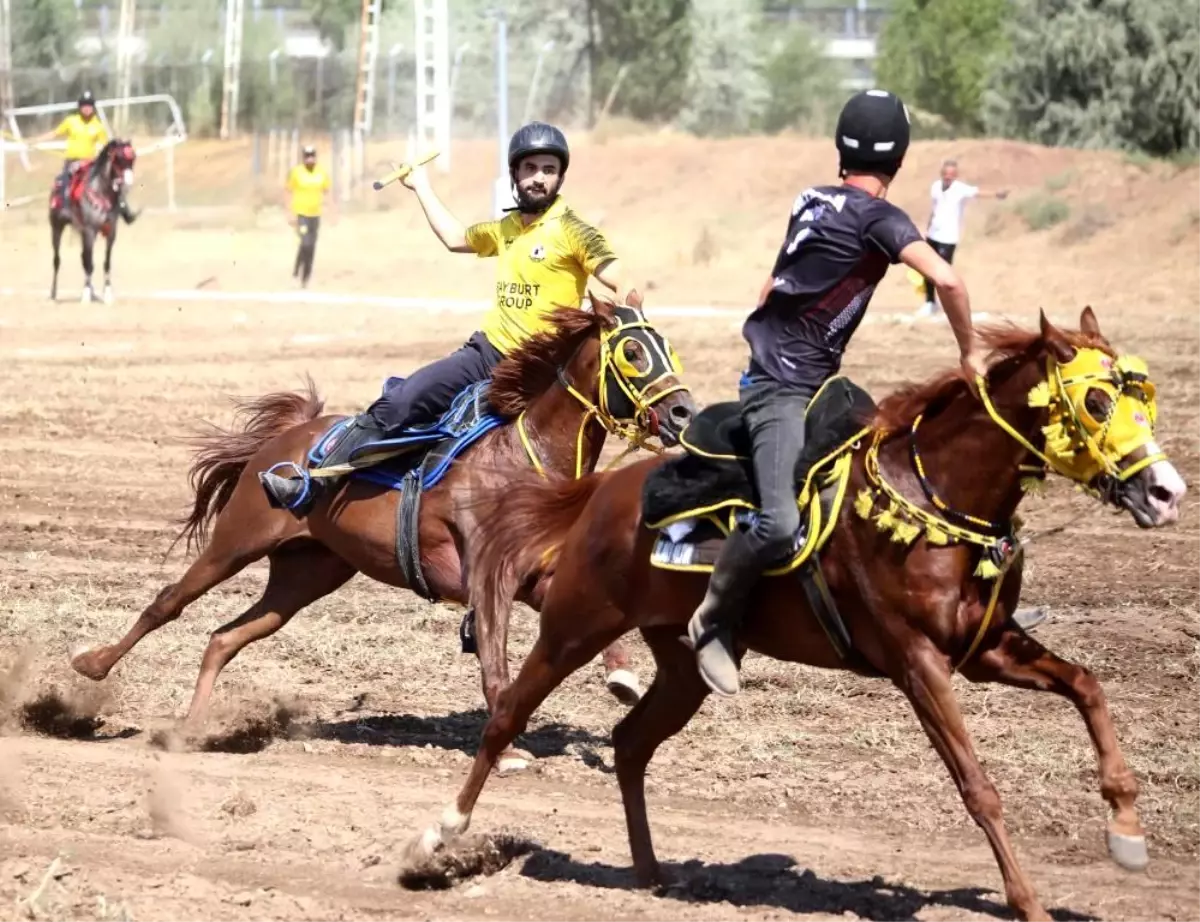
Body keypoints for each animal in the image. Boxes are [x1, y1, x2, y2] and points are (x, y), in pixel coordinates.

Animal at [48, 138, 138, 302]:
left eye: (133, 158)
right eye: (118, 158)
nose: (128, 182)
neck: (102, 192)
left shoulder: (110, 232)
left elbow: (105, 263)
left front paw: (107, 293)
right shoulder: (90, 230)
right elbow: (89, 263)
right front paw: (85, 294)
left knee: (83, 258)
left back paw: (93, 292)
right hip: (57, 228)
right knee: (57, 260)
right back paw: (53, 293)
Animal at [68, 295, 696, 768]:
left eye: (669, 347)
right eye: (633, 351)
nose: (684, 412)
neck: (522, 458)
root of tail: (288, 438)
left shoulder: (532, 580)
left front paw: (624, 680)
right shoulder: (487, 581)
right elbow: (495, 662)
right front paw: (511, 753)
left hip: (306, 574)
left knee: (226, 636)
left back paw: (191, 729)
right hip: (237, 541)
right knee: (168, 602)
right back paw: (91, 666)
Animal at [417, 309, 1185, 922]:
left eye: (1143, 401)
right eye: (1095, 400)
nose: (1166, 490)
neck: (930, 493)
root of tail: (605, 488)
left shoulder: (989, 646)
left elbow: (1088, 686)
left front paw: (1126, 832)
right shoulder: (918, 663)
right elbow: (979, 786)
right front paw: (1028, 902)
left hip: (682, 664)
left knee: (631, 743)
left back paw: (650, 872)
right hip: (575, 624)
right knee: (508, 712)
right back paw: (438, 834)